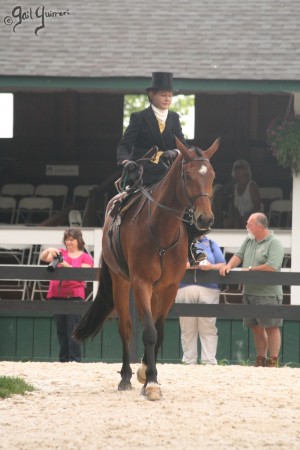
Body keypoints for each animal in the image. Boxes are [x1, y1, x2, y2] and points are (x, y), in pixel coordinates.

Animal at [74, 137, 220, 400]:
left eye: (211, 176)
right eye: (187, 176)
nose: (205, 220)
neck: (161, 230)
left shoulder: (169, 287)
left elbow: (158, 331)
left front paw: (148, 374)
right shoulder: (141, 282)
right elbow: (149, 332)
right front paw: (150, 382)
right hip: (121, 282)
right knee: (126, 327)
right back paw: (125, 377)